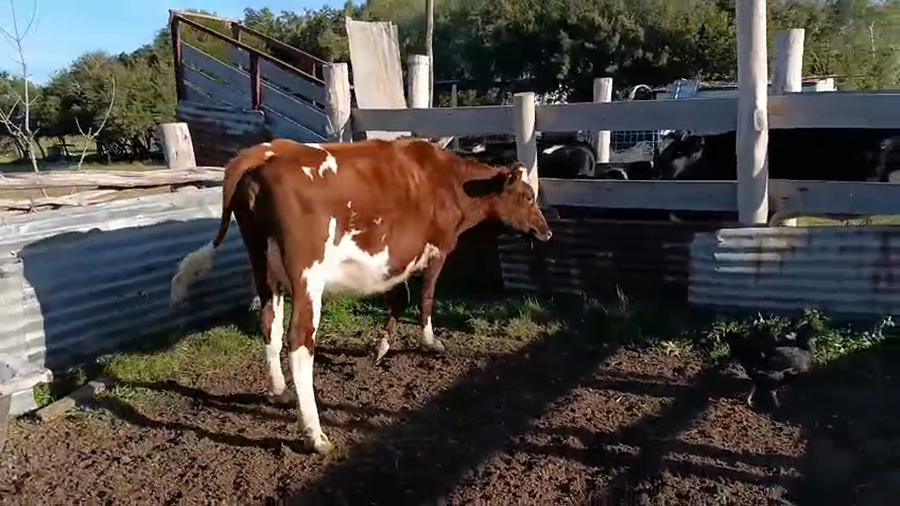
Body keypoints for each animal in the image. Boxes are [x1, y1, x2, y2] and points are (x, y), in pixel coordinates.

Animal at [168, 138, 552, 454]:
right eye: (527, 197)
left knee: (270, 326)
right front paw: (429, 342)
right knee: (300, 342)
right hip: (307, 278)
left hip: (263, 269)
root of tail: (263, 156)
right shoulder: (436, 250)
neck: (445, 181)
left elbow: (398, 299)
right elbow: (425, 297)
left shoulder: (393, 260)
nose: (546, 232)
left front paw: (382, 348)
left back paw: (278, 391)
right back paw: (315, 434)